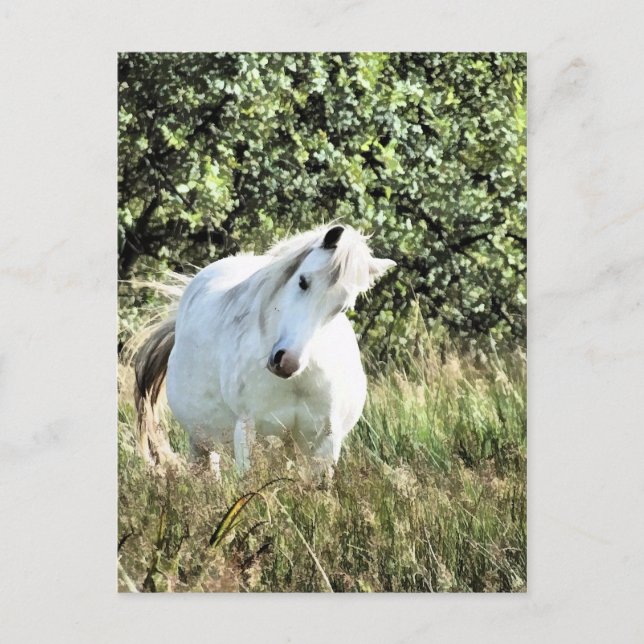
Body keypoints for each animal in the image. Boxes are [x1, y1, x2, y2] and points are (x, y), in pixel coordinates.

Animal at [134, 224, 395, 474]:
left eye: (342, 307)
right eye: (303, 281)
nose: (287, 362)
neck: (298, 382)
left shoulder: (325, 443)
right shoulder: (247, 432)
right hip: (201, 442)